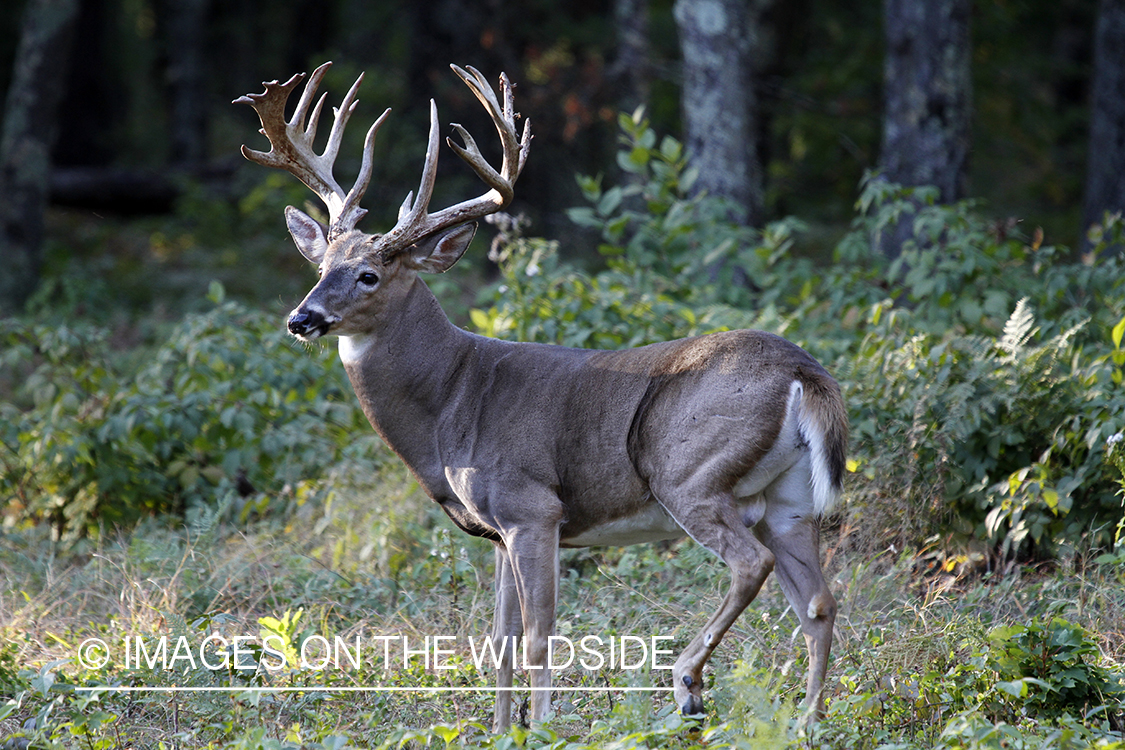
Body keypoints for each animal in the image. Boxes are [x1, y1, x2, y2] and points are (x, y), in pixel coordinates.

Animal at [235, 61, 846, 728]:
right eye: (321, 268)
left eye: (369, 274)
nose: (301, 318)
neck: (453, 399)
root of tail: (804, 372)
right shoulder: (498, 528)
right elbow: (497, 641)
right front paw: (503, 731)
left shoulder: (533, 508)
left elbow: (536, 637)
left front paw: (545, 727)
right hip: (789, 500)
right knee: (819, 601)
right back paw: (805, 721)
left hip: (689, 473)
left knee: (751, 565)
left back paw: (688, 682)